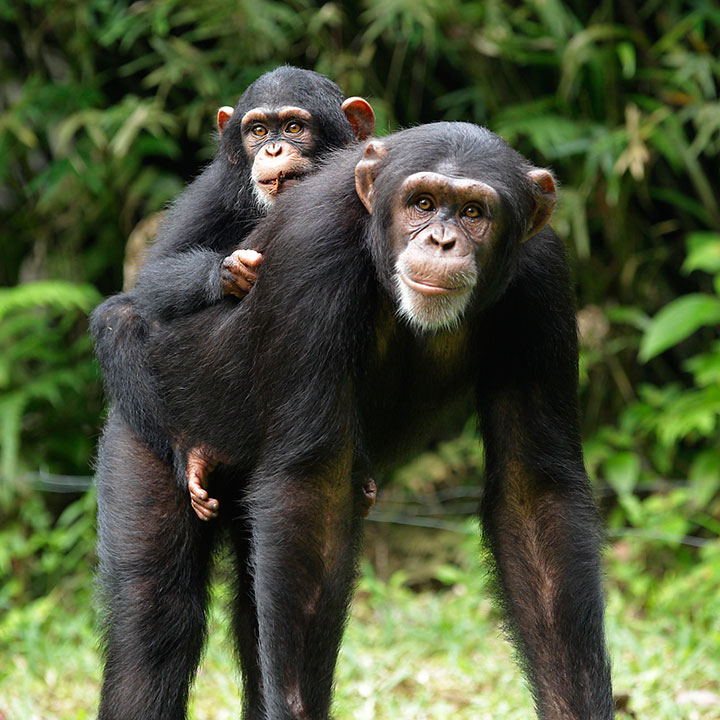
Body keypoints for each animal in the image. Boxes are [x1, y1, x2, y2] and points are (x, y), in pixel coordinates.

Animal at [88, 66, 372, 516]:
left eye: (294, 127)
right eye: (257, 130)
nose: (272, 148)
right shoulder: (214, 188)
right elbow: (153, 275)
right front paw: (228, 271)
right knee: (120, 316)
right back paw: (190, 453)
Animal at [95, 124, 612, 720]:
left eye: (474, 211)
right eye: (423, 203)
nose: (441, 241)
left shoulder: (544, 278)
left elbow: (535, 497)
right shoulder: (312, 248)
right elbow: (311, 491)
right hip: (147, 420)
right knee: (155, 616)